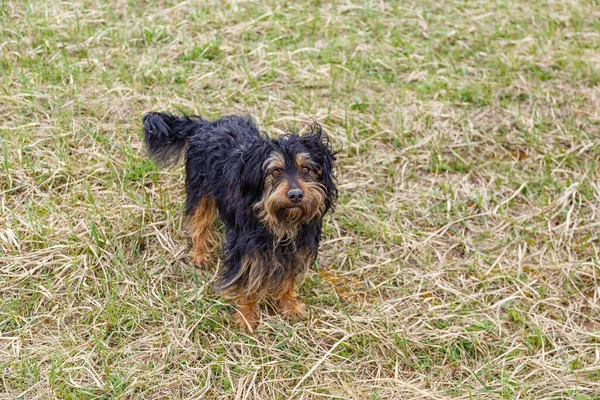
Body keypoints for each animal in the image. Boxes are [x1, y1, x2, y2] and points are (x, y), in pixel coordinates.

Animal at [142, 112, 338, 332]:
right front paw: (247, 317)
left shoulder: (297, 249)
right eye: (275, 171)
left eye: (306, 169)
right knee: (199, 221)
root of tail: (205, 125)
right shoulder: (245, 250)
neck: (281, 222)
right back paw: (201, 254)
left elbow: (288, 279)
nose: (296, 195)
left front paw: (289, 305)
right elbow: (247, 285)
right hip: (200, 190)